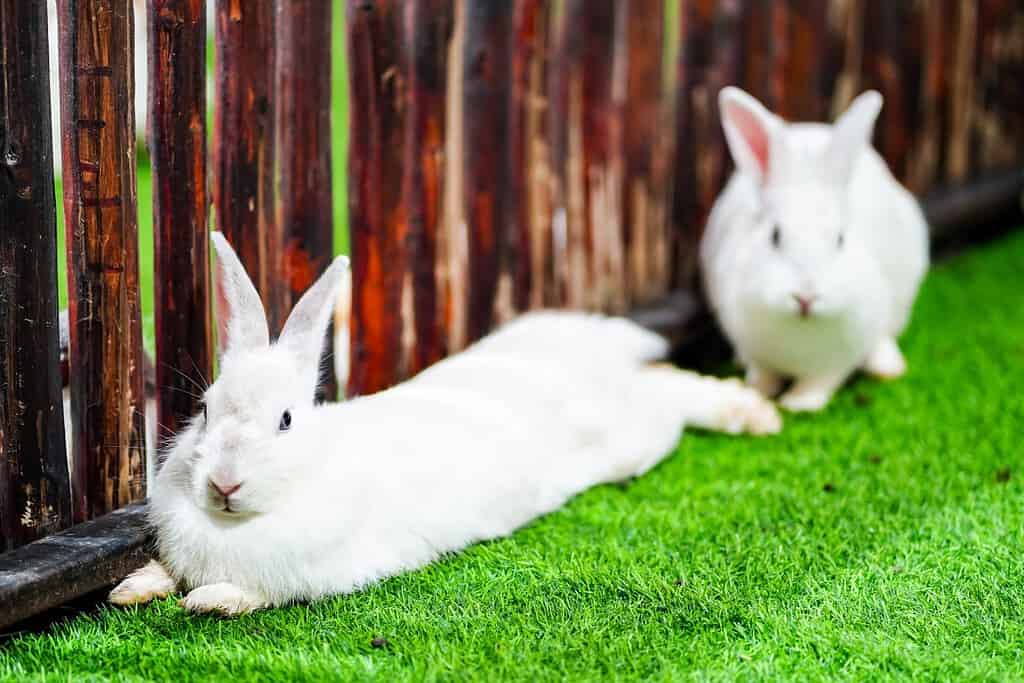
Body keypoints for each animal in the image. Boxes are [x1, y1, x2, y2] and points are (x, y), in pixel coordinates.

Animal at [109, 231, 781, 616]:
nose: (223, 484)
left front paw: (206, 601)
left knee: (672, 390)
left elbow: (253, 592)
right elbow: (162, 570)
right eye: (204, 411)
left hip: (640, 435)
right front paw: (132, 588)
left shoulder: (317, 573)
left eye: (286, 421)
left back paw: (755, 416)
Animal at [700, 87, 929, 412]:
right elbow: (763, 371)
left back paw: (887, 366)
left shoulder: (838, 360)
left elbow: (820, 382)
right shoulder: (751, 343)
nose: (805, 298)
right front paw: (758, 391)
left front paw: (799, 403)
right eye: (775, 236)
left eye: (840, 239)